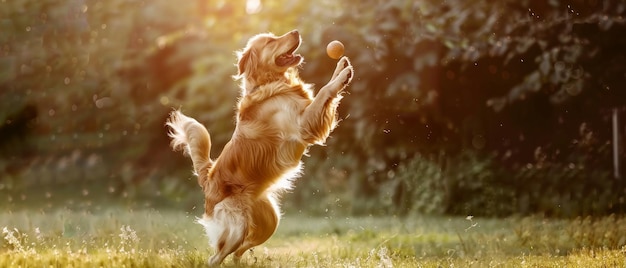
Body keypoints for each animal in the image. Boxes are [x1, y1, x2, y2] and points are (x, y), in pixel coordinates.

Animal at [165, 30, 352, 264]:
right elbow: (324, 92)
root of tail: (209, 178)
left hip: (270, 221)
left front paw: (340, 66)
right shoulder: (303, 124)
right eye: (271, 41)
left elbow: (324, 92)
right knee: (217, 257)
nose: (296, 32)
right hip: (237, 227)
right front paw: (342, 76)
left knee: (238, 251)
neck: (269, 84)